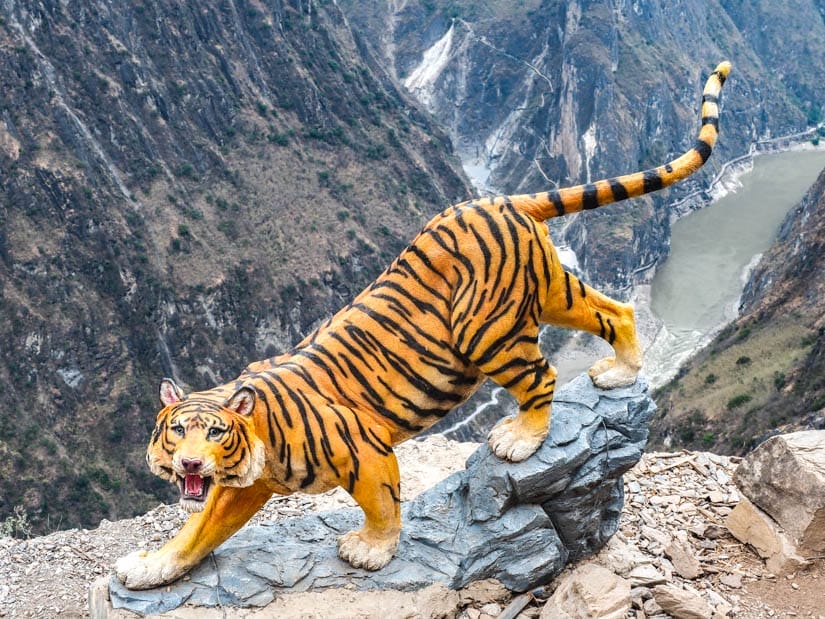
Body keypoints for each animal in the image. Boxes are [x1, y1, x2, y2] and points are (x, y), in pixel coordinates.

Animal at [116, 62, 730, 590]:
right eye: (177, 431)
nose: (190, 462)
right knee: (615, 310)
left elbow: (383, 503)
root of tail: (499, 200)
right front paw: (151, 567)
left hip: (489, 330)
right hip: (551, 291)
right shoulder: (239, 489)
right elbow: (198, 531)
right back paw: (621, 371)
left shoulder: (365, 451)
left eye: (216, 433)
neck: (257, 443)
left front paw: (371, 550)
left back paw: (521, 438)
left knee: (541, 377)